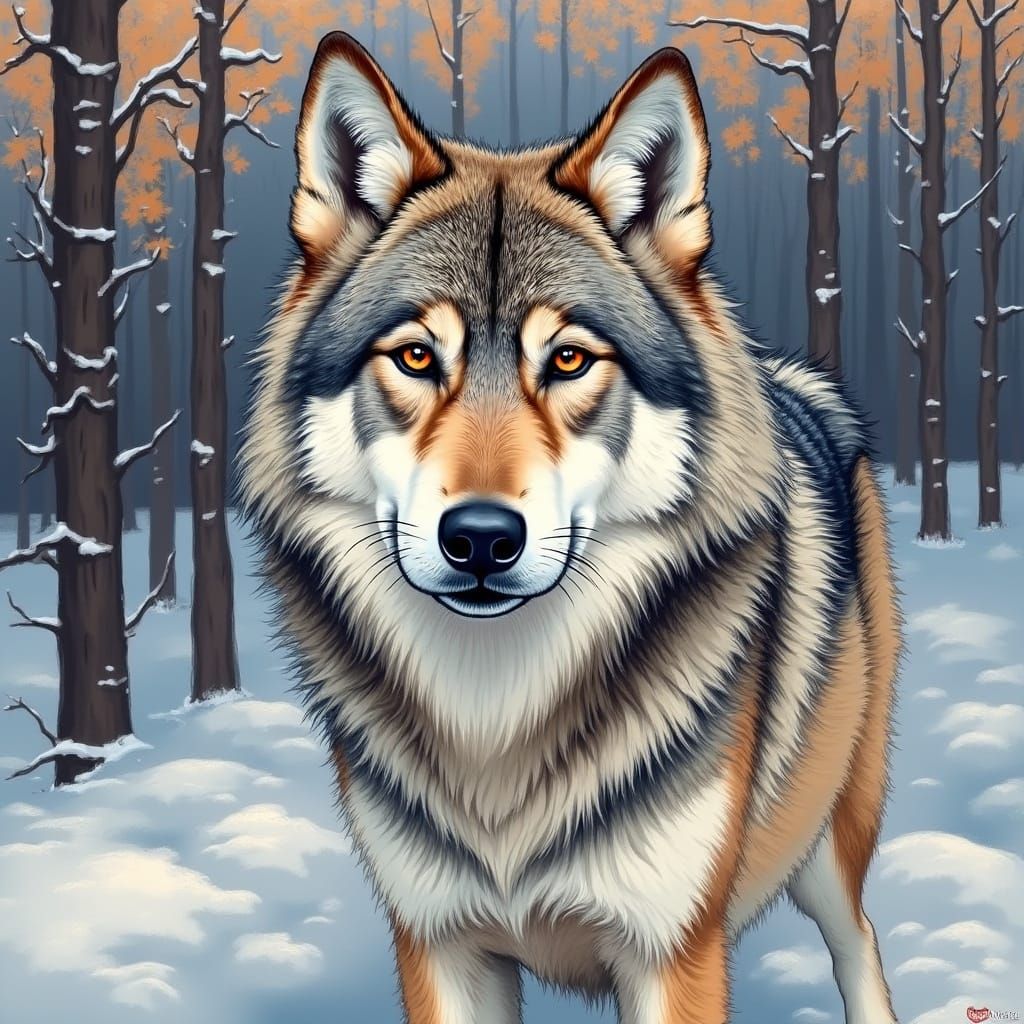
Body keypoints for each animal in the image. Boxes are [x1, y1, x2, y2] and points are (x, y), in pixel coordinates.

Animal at [241, 31, 901, 1024]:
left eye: (567, 360)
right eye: (416, 357)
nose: (480, 538)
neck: (495, 715)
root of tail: (799, 384)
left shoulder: (672, 952)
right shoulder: (440, 945)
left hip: (830, 834)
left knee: (859, 939)